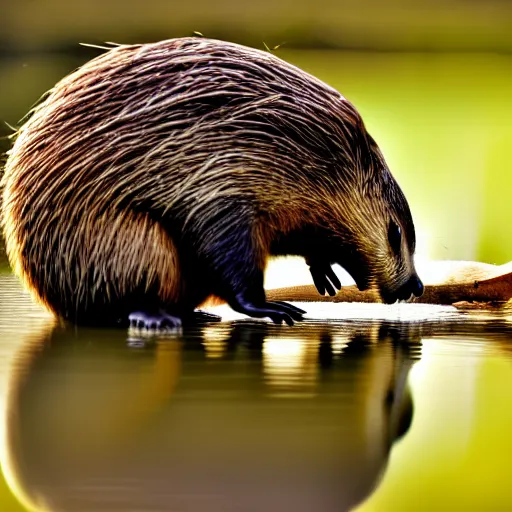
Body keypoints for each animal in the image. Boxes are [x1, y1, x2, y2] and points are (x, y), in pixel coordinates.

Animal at [1, 37, 424, 328]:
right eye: (396, 234)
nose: (416, 287)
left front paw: (325, 275)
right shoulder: (220, 183)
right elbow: (226, 254)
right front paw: (276, 308)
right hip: (132, 242)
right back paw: (158, 318)